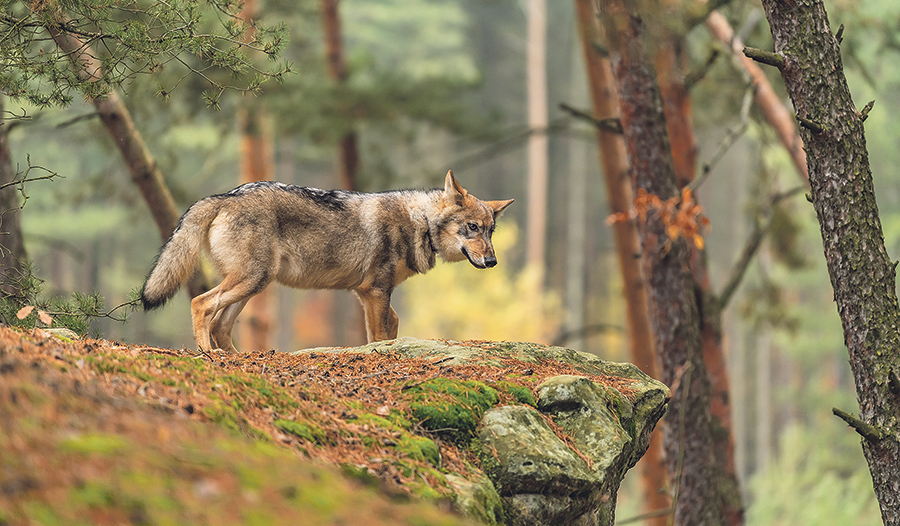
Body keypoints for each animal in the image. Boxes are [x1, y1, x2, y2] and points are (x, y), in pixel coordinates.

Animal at [140, 170, 514, 352]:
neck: (419, 221)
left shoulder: (374, 294)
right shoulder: (374, 292)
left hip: (255, 284)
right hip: (251, 280)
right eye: (472, 228)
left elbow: (392, 326)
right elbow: (378, 335)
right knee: (201, 304)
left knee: (220, 324)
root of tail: (223, 196)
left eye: (491, 230)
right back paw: (207, 353)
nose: (493, 261)